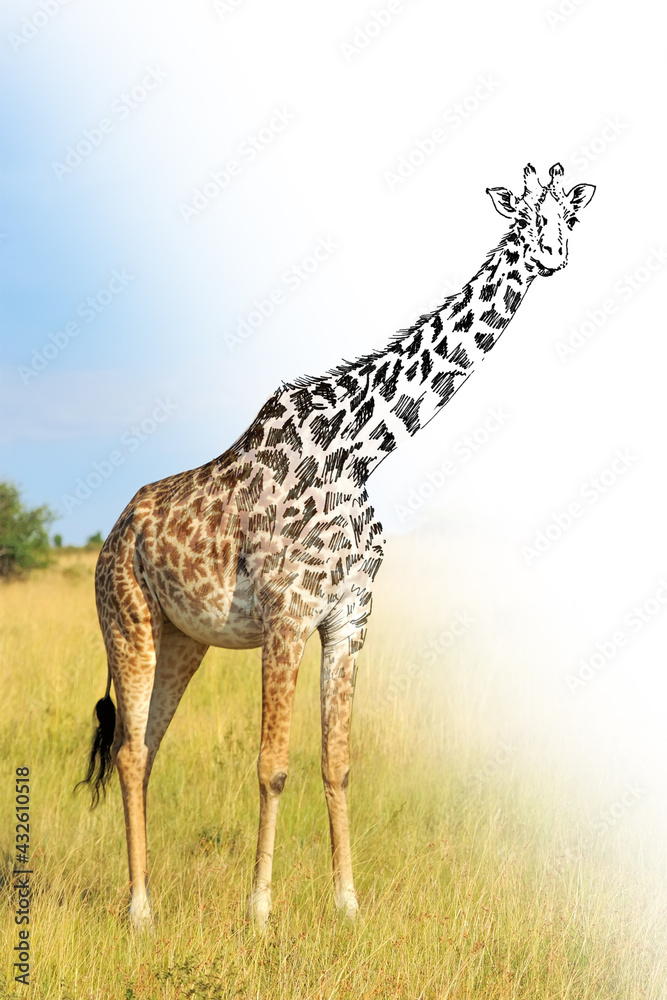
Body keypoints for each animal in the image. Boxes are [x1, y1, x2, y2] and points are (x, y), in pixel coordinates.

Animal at [79, 162, 595, 932]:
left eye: (569, 215)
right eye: (522, 218)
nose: (553, 257)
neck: (362, 451)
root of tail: (115, 533)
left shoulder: (349, 617)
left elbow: (338, 762)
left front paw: (347, 904)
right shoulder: (288, 615)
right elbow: (273, 765)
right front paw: (260, 912)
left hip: (184, 638)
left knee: (142, 743)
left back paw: (148, 900)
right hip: (127, 620)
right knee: (131, 751)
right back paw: (140, 910)